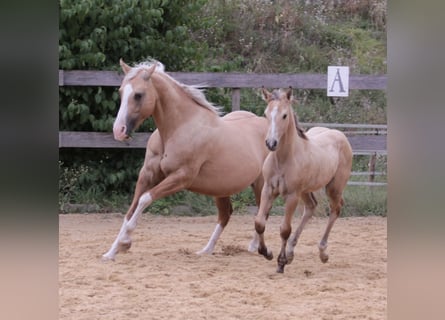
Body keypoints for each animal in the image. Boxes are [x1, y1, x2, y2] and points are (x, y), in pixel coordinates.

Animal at [101, 59, 268, 260]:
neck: (179, 127)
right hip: (221, 188)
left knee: (261, 213)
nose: (119, 131)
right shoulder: (147, 175)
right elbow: (130, 210)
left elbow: (144, 199)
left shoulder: (180, 178)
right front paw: (111, 252)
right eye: (120, 92)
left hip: (261, 184)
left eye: (138, 95)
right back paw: (206, 250)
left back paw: (254, 246)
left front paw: (125, 243)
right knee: (226, 215)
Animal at [251, 87, 352, 272]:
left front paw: (281, 263)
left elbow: (285, 229)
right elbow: (260, 222)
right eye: (266, 113)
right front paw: (266, 252)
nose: (271, 143)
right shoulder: (268, 189)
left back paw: (322, 253)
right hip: (306, 190)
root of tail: (340, 134)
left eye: (284, 115)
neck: (283, 159)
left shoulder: (292, 195)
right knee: (311, 207)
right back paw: (291, 252)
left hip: (333, 188)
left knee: (335, 210)